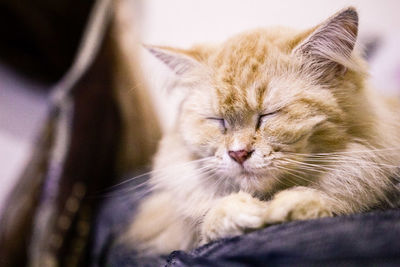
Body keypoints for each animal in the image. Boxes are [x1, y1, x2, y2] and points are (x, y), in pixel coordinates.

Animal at [121, 7, 400, 256]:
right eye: (219, 121)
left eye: (266, 116)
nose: (238, 154)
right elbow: (210, 218)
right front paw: (244, 214)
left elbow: (327, 199)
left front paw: (289, 207)